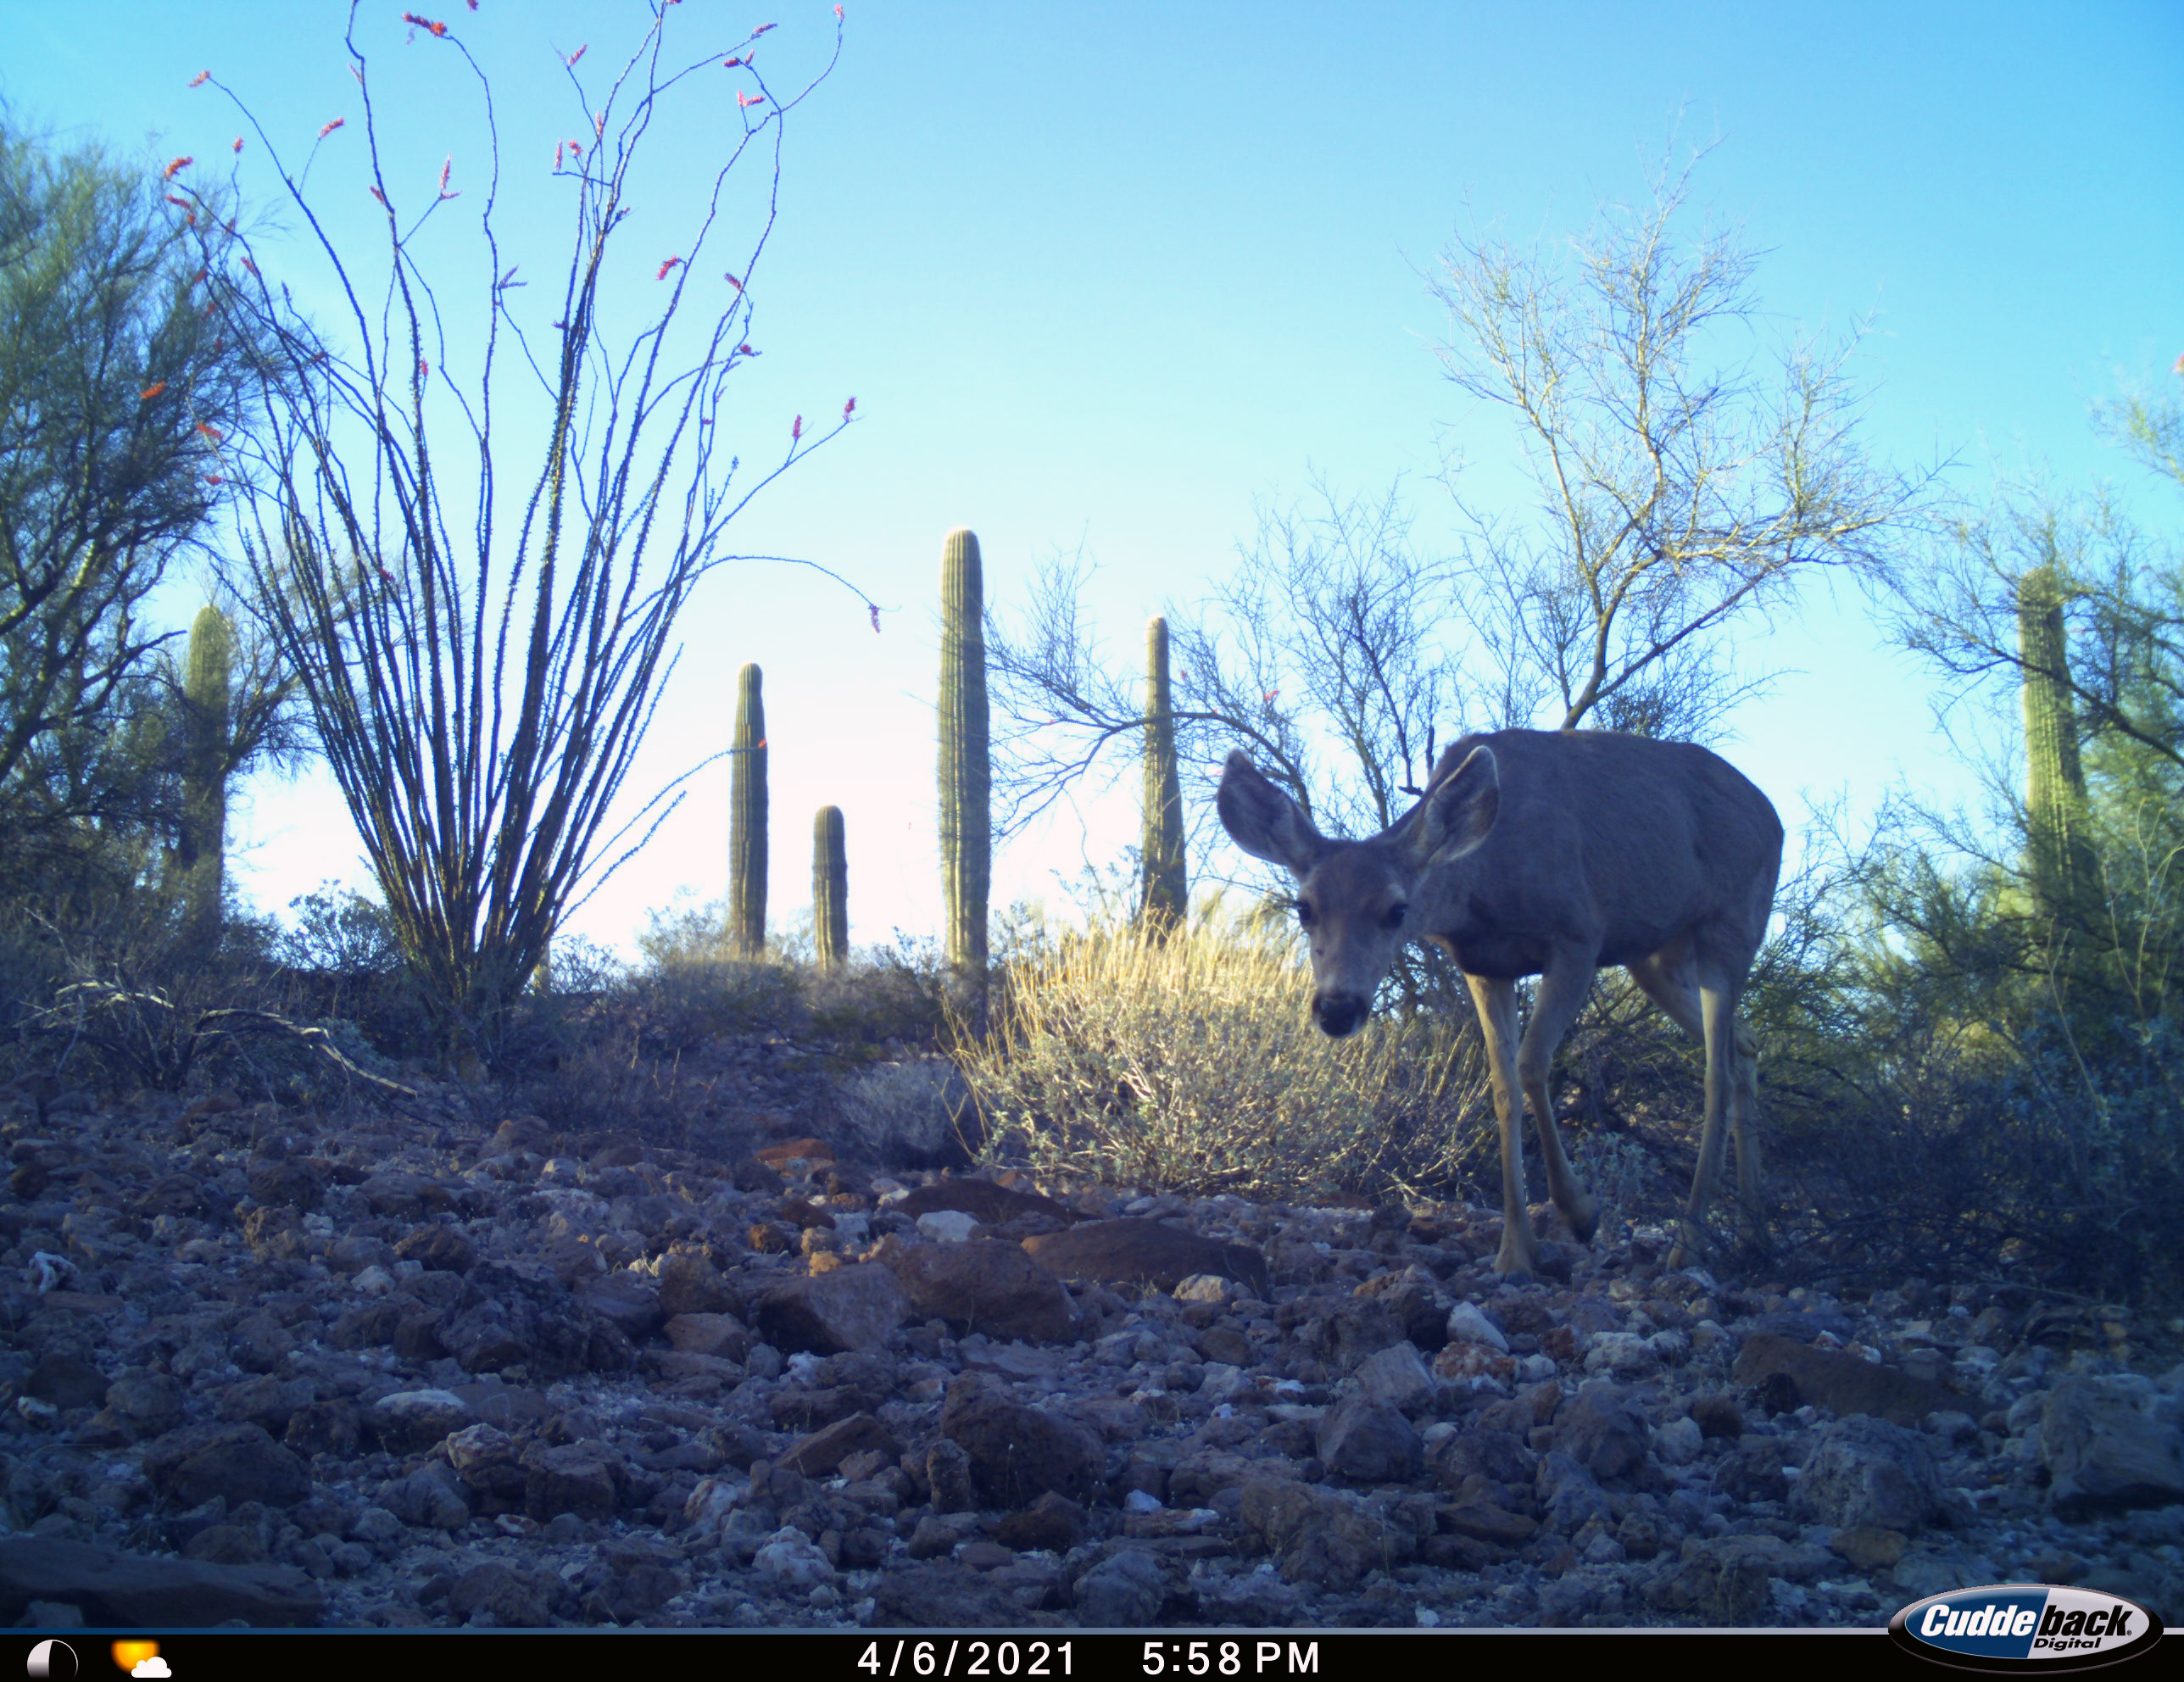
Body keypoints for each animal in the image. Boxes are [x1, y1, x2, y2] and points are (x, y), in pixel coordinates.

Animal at [1218, 728, 1784, 1280]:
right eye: (1304, 907)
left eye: (1397, 909)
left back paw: (1689, 1244)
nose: (1337, 1009)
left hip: (1731, 924)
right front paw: (1514, 1254)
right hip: (1655, 956)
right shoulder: (1486, 966)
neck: (1483, 884)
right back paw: (1753, 1228)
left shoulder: (1579, 936)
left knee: (1716, 1070)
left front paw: (1580, 1212)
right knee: (1745, 1041)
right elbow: (1502, 1086)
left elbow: (1531, 1065)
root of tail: (1772, 816)